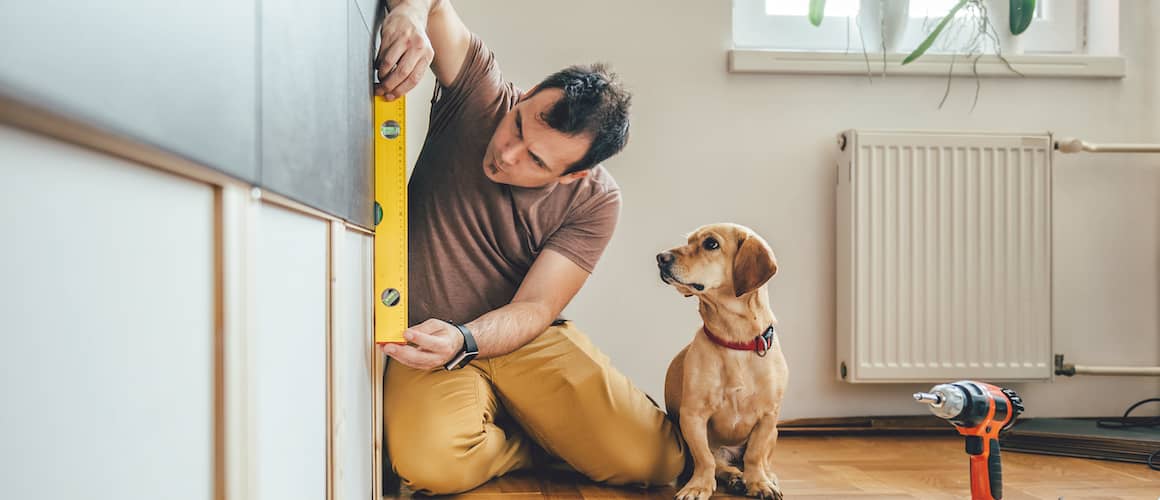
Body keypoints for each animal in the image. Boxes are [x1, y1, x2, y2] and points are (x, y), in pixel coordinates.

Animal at [663, 223, 788, 500]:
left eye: (711, 244)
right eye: (689, 241)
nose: (660, 258)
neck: (736, 342)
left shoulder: (768, 417)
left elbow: (754, 455)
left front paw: (759, 483)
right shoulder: (693, 415)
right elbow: (705, 459)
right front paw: (698, 486)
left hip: (774, 432)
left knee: (761, 460)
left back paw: (764, 477)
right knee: (721, 464)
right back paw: (734, 477)